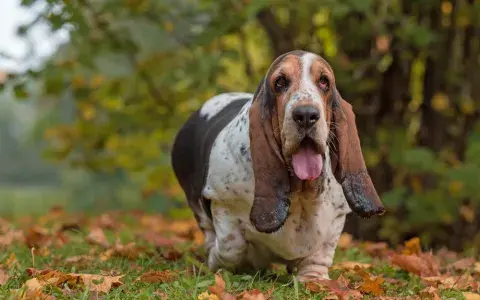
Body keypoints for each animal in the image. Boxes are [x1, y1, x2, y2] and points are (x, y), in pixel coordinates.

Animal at [171, 49, 384, 282]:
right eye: (280, 82)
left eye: (324, 82)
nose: (306, 115)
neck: (300, 192)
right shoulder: (221, 203)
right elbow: (231, 246)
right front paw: (220, 260)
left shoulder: (336, 218)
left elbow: (320, 253)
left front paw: (313, 278)